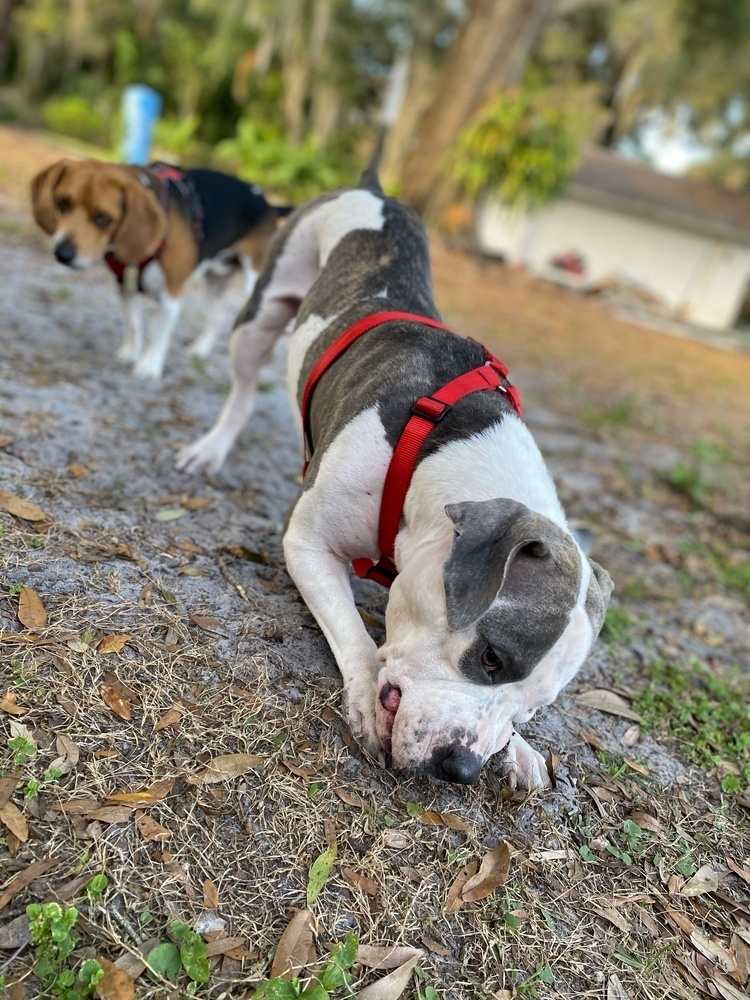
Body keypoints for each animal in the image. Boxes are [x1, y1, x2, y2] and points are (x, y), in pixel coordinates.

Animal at [30, 160, 292, 378]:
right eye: (61, 202)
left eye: (104, 218)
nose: (63, 253)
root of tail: (268, 204)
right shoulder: (125, 286)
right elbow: (133, 323)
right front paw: (131, 352)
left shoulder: (171, 296)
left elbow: (159, 335)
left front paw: (149, 366)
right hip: (215, 280)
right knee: (218, 316)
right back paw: (200, 350)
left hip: (258, 285)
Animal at [179, 168, 612, 784]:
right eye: (491, 657)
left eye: (536, 706)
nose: (461, 768)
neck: (440, 448)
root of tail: (371, 188)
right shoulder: (308, 545)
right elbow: (355, 635)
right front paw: (364, 692)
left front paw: (521, 750)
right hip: (258, 315)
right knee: (241, 389)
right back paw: (211, 449)